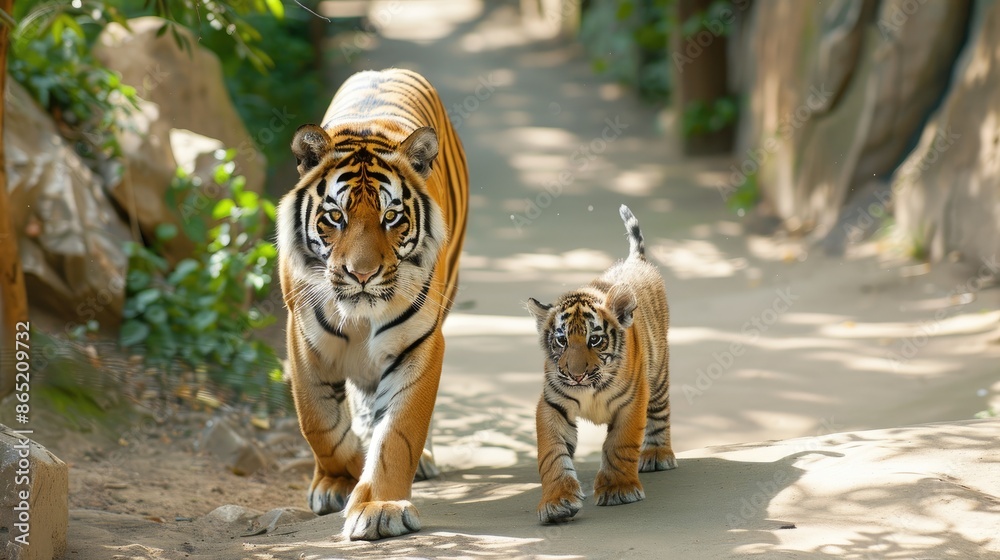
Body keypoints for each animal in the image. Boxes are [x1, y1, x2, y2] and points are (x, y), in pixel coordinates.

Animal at [276, 68, 468, 541]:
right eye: (335, 217)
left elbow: (397, 433)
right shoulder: (303, 340)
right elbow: (320, 424)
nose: (361, 274)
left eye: (391, 217)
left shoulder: (418, 344)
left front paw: (379, 506)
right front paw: (337, 480)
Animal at [526, 205, 676, 524]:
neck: (590, 389)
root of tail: (635, 260)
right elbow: (552, 453)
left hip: (658, 375)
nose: (577, 375)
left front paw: (618, 489)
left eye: (594, 340)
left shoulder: (633, 401)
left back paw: (657, 455)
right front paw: (557, 503)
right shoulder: (552, 404)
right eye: (561, 340)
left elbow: (620, 444)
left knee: (660, 412)